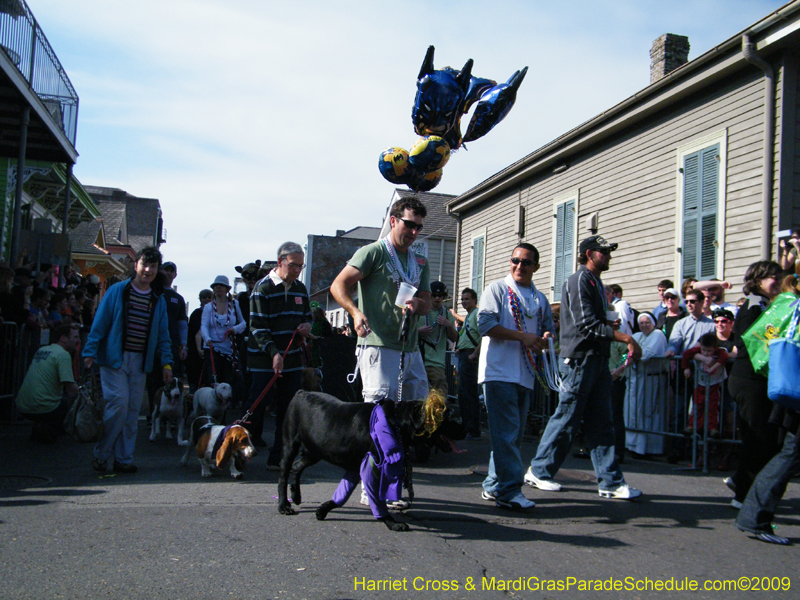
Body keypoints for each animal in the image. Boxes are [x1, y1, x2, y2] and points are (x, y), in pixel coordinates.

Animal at [278, 392, 466, 532]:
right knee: (284, 474)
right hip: (290, 444)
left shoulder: (354, 468)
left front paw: (324, 509)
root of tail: (300, 392)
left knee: (297, 467)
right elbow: (377, 500)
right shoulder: (371, 469)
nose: (465, 429)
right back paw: (283, 505)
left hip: (315, 451)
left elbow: (343, 494)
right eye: (449, 416)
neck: (396, 422)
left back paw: (296, 495)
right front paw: (391, 522)